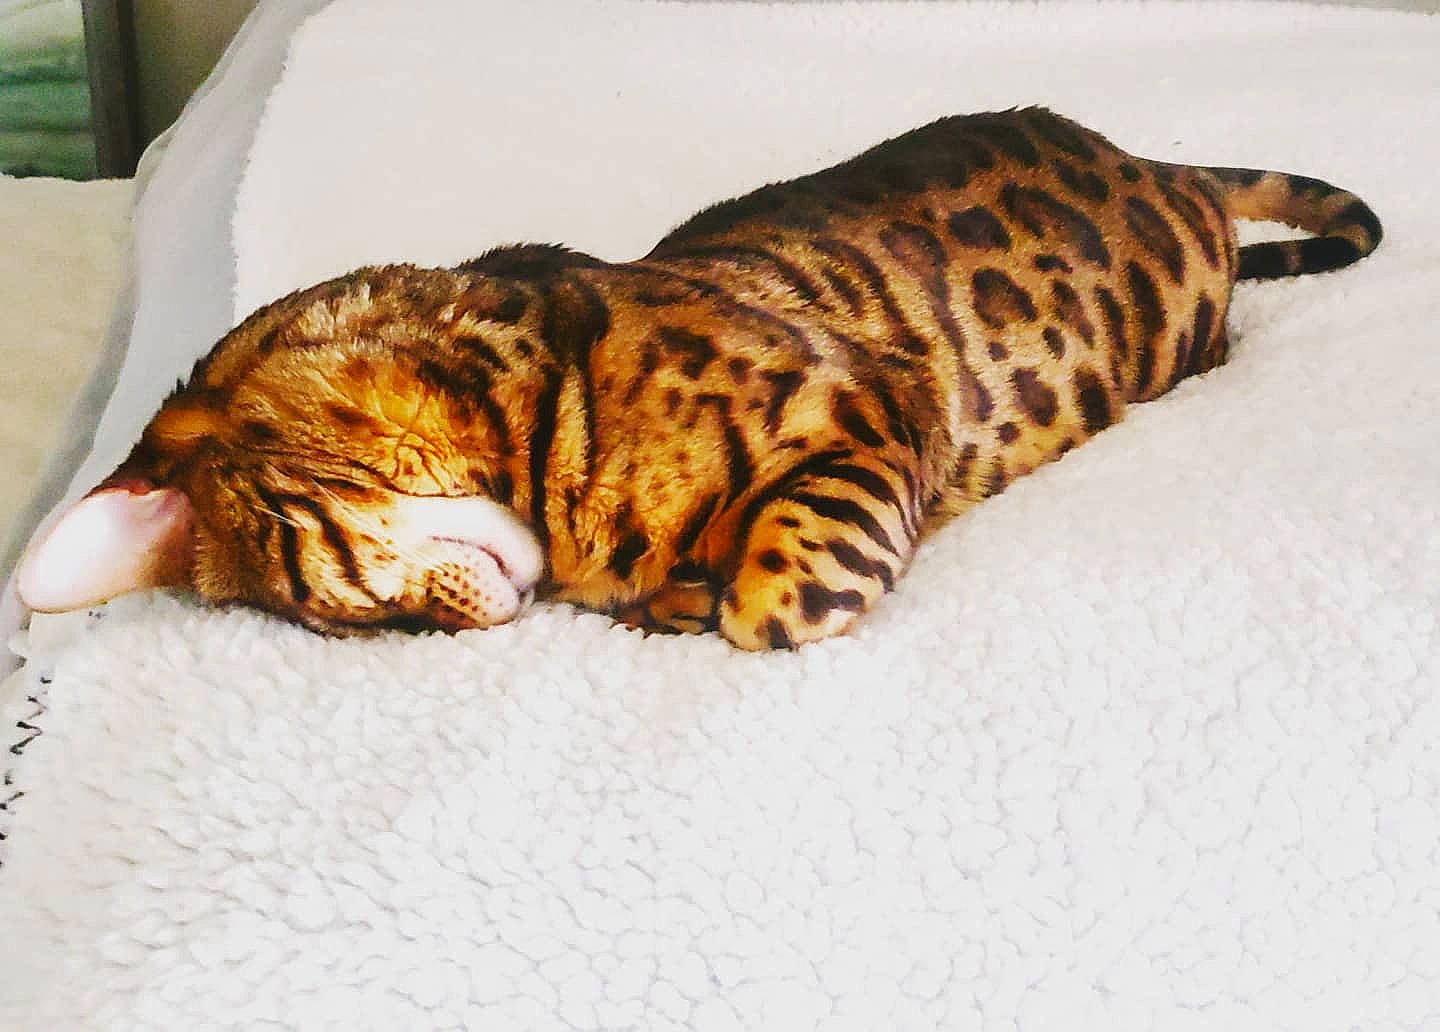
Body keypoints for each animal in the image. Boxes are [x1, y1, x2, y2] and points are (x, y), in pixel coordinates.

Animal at [16, 107, 1381, 649]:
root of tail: (1160, 163)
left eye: (328, 596)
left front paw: (702, 592)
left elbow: (779, 593)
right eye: (358, 630)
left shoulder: (870, 406)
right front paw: (663, 591)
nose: (465, 627)